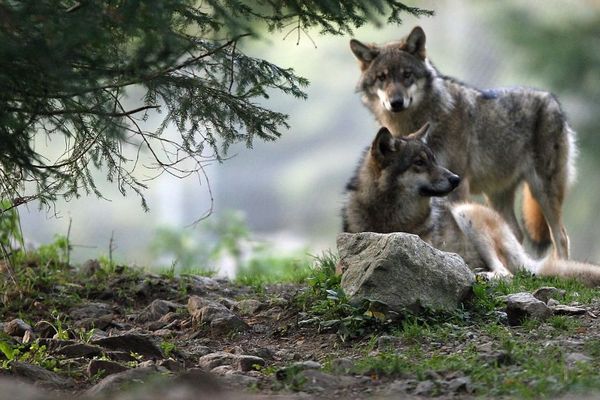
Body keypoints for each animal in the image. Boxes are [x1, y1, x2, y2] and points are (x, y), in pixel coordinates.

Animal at [342, 125, 600, 284]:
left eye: (434, 160)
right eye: (419, 163)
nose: (456, 179)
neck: (391, 216)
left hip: (468, 216)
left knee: (506, 273)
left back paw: (479, 274)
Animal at [352, 26, 576, 258]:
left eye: (407, 75)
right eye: (382, 77)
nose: (396, 102)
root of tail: (552, 99)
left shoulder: (458, 182)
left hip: (542, 189)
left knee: (560, 236)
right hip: (497, 194)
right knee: (514, 232)